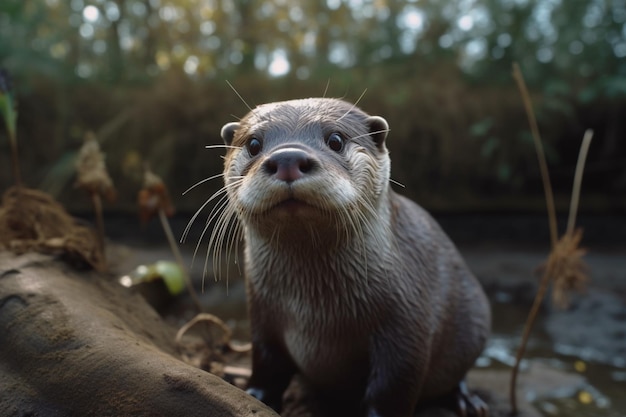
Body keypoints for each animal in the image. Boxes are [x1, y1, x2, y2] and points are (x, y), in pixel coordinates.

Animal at [217, 98, 490, 416]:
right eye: (253, 143)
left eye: (335, 140)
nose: (287, 159)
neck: (316, 312)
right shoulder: (262, 315)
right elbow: (266, 365)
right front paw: (254, 395)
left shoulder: (406, 322)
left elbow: (391, 388)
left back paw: (467, 400)